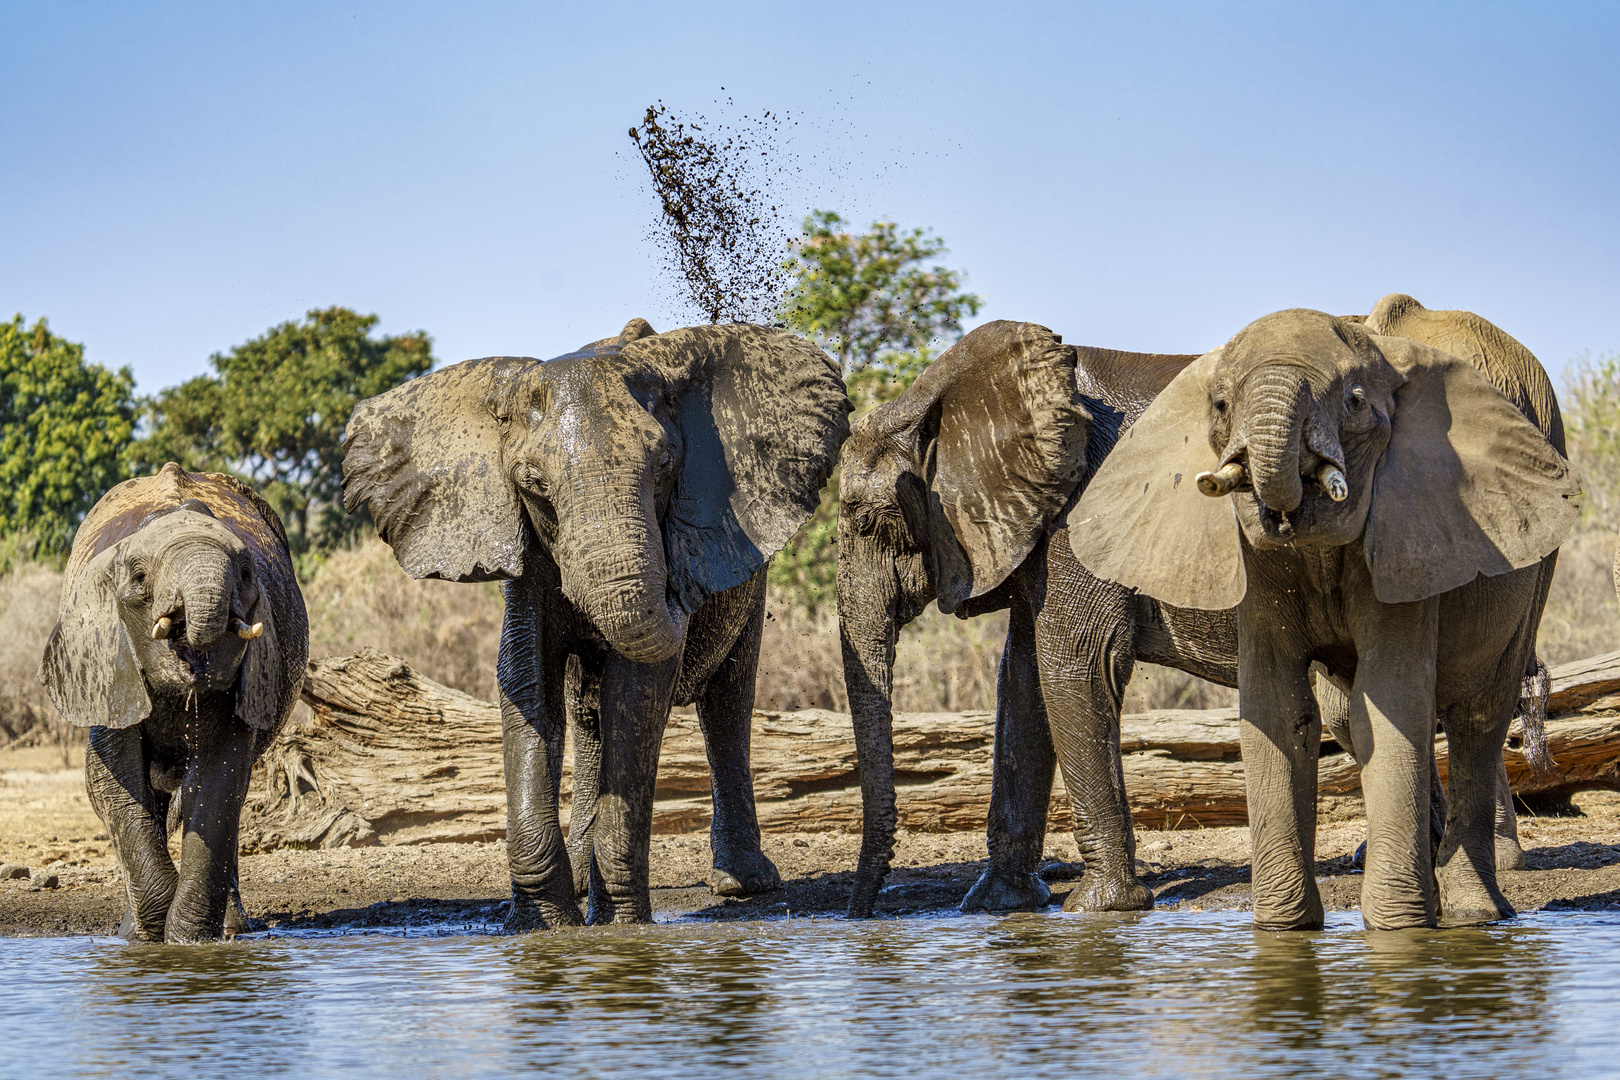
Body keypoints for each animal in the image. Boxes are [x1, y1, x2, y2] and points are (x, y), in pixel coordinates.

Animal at [38, 459, 306, 939]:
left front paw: (187, 942)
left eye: (246, 574)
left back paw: (233, 930)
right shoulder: (110, 669)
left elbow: (218, 783)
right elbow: (109, 782)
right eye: (139, 578)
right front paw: (150, 939)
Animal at [341, 314, 848, 932]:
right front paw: (542, 924)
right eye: (533, 484)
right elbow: (526, 680)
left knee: (726, 701)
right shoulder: (528, 557)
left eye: (665, 466)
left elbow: (637, 691)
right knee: (588, 714)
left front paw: (620, 926)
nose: (682, 586)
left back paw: (741, 884)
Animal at [1069, 299, 1574, 932]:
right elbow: (1280, 713)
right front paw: (1285, 930)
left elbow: (1388, 705)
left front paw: (1398, 930)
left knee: (1478, 715)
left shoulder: (1409, 526)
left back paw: (1474, 916)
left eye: (1354, 401)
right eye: (1220, 405)